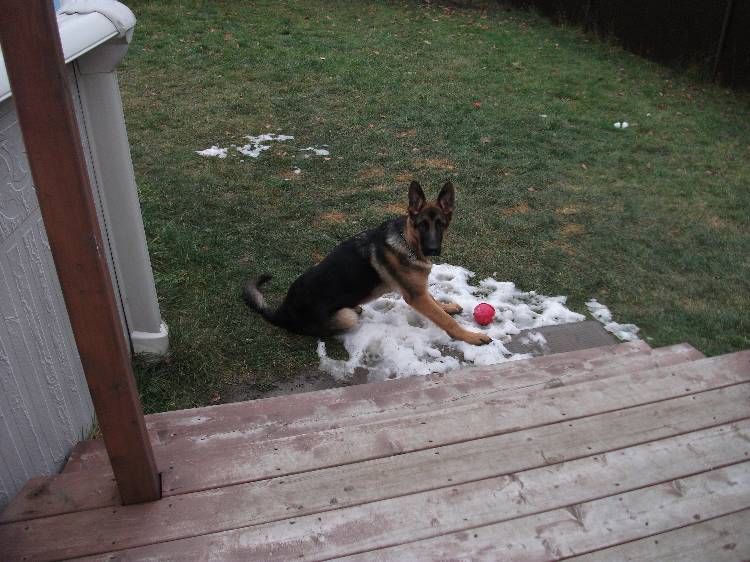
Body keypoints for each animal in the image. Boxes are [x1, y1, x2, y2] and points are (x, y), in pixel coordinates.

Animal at [244, 182, 496, 344]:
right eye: (422, 225)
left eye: (441, 224)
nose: (433, 249)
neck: (408, 242)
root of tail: (282, 311)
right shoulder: (415, 296)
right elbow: (445, 321)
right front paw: (470, 336)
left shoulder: (418, 290)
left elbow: (435, 302)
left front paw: (447, 306)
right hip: (343, 318)